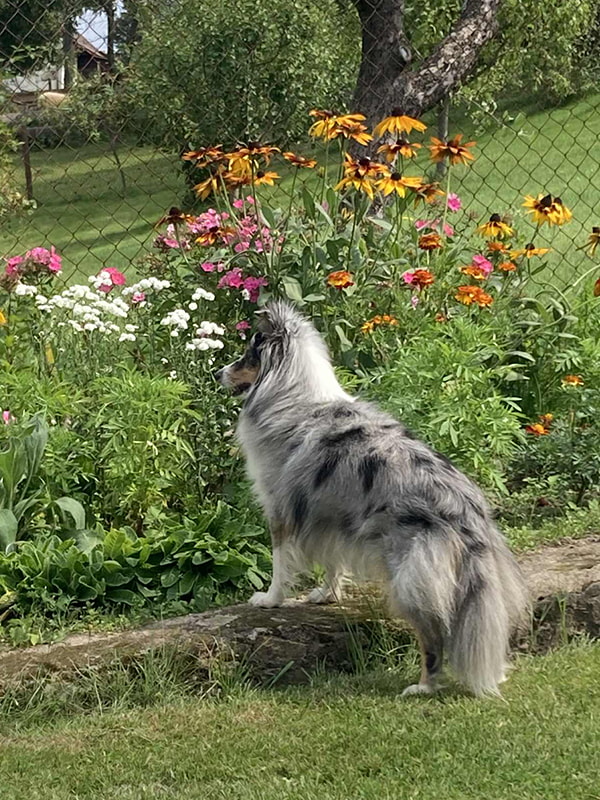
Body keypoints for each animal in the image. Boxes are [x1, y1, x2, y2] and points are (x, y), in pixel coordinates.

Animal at [215, 301, 529, 696]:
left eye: (248, 355)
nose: (216, 373)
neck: (291, 395)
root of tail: (464, 506)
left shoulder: (280, 508)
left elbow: (280, 562)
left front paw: (269, 600)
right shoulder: (326, 512)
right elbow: (332, 559)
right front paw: (326, 594)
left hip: (410, 575)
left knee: (433, 632)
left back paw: (423, 686)